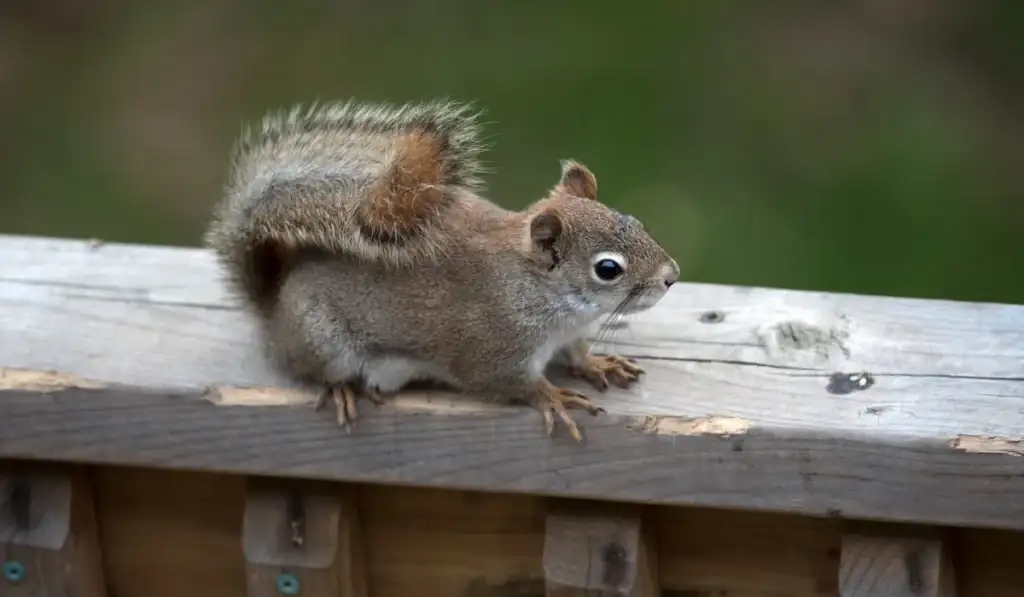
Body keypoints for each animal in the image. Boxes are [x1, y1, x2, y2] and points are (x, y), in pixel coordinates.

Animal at [204, 98, 679, 442]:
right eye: (608, 269)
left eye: (638, 223)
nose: (671, 276)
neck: (544, 293)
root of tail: (273, 308)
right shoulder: (494, 345)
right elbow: (509, 383)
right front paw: (556, 396)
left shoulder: (570, 333)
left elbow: (578, 352)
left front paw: (598, 363)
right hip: (321, 340)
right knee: (316, 371)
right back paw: (341, 389)